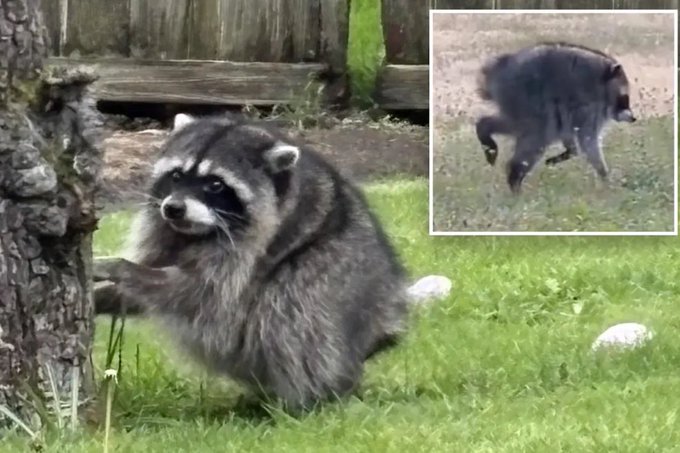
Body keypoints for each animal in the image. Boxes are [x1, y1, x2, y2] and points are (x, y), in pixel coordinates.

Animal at [93, 113, 410, 410]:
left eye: (215, 185)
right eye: (176, 176)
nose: (173, 208)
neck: (197, 232)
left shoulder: (249, 249)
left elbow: (198, 294)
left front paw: (121, 267)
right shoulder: (164, 230)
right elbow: (145, 288)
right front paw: (105, 295)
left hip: (338, 277)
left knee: (291, 307)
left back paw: (309, 398)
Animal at [475, 41, 636, 193]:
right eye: (625, 98)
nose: (633, 118)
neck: (603, 82)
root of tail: (499, 68)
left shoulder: (573, 113)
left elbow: (570, 136)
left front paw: (570, 152)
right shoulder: (588, 108)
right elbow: (588, 141)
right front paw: (604, 174)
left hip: (517, 102)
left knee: (519, 127)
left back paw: (484, 128)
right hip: (523, 96)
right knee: (537, 134)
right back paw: (514, 176)